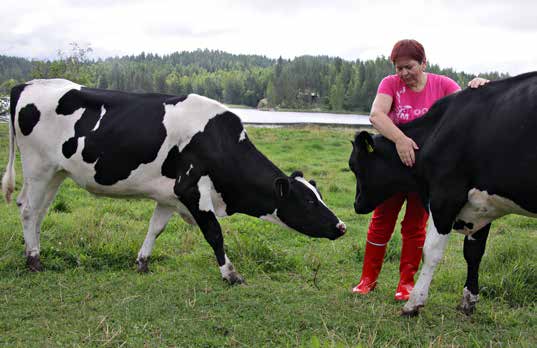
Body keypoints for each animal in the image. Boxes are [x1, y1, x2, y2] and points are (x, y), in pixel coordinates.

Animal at [2, 78, 346, 282]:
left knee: (38, 211)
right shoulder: (191, 188)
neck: (219, 142)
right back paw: (34, 260)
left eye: (319, 195)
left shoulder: (170, 195)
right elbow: (215, 233)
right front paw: (230, 273)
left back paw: (33, 250)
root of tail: (26, 84)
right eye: (307, 200)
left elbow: (156, 228)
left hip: (56, 173)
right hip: (38, 167)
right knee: (28, 210)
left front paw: (142, 262)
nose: (341, 226)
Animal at [348, 72, 536, 316]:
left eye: (354, 166)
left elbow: (431, 251)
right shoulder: (481, 204)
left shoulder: (445, 197)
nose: (356, 204)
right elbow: (474, 252)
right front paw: (468, 301)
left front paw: (414, 302)